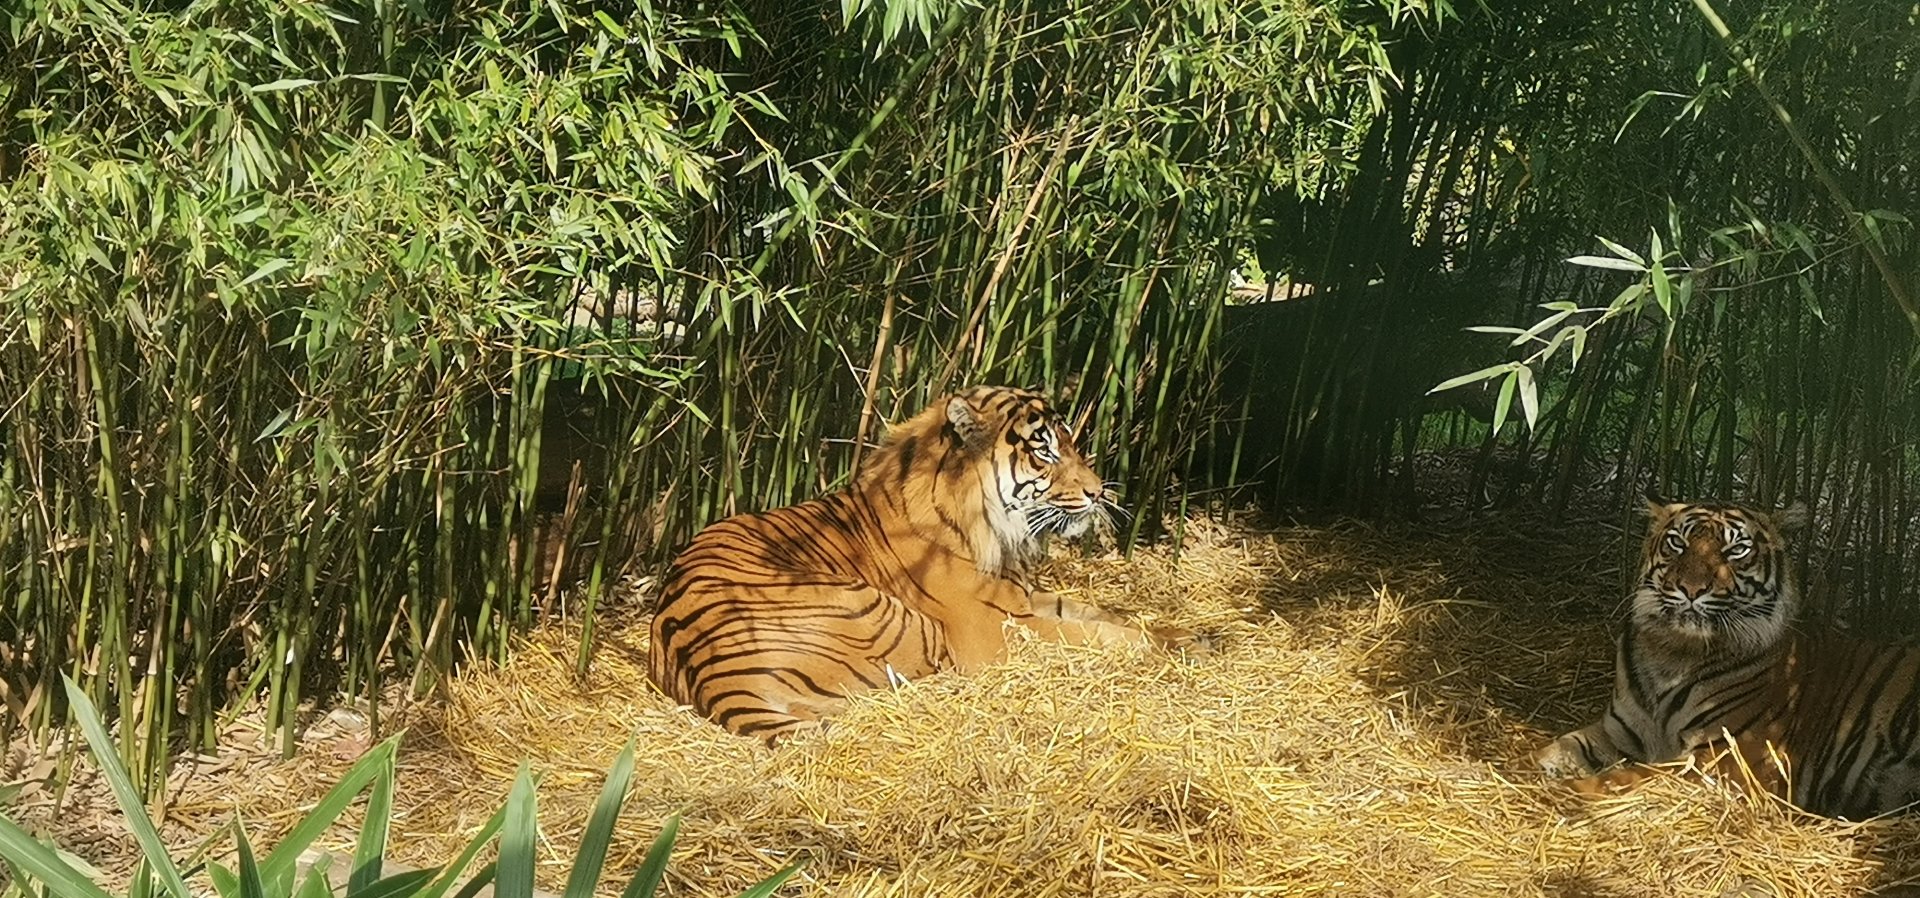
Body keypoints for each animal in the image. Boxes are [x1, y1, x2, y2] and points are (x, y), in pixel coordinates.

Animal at [647, 385, 1199, 745]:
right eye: (1043, 450)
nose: (1098, 492)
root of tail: (716, 675)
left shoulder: (1021, 597)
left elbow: (1104, 616)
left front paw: (1189, 638)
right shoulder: (991, 627)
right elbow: (1091, 635)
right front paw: (1167, 651)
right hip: (901, 623)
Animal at [1534, 495, 1920, 819]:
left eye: (1736, 550)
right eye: (1678, 543)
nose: (1691, 589)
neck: (1673, 652)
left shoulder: (1728, 754)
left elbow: (1632, 776)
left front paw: (1569, 790)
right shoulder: (1620, 732)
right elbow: (1561, 746)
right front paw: (1536, 765)